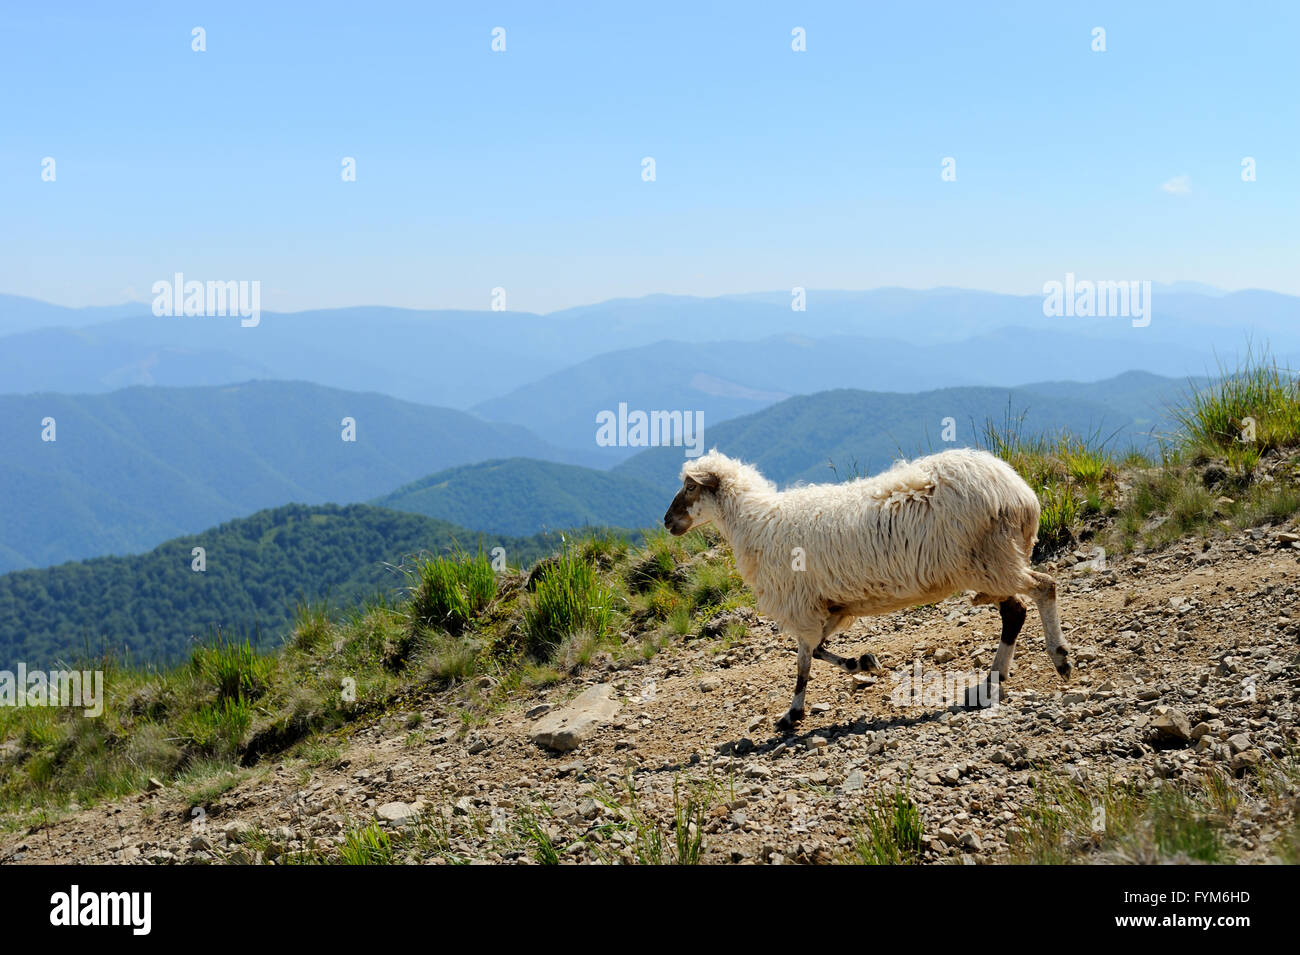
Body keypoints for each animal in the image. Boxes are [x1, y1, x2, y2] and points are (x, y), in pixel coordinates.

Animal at [662, 448, 1072, 731]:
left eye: (689, 486)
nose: (666, 522)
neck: (756, 523)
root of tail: (1020, 493)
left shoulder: (801, 605)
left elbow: (802, 663)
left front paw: (792, 713)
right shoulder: (831, 605)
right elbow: (820, 650)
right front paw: (863, 662)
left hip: (990, 560)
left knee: (1044, 588)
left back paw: (1059, 658)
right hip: (992, 562)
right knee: (1015, 611)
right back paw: (992, 681)